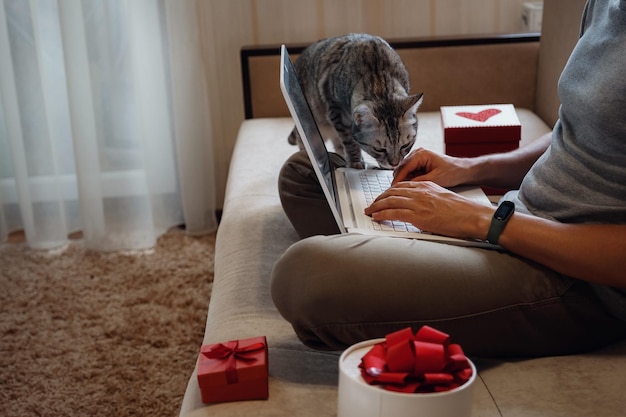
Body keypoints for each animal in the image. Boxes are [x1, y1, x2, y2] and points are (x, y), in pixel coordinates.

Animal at [286, 33, 422, 169]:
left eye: (405, 145)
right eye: (379, 149)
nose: (394, 164)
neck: (379, 82)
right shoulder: (337, 113)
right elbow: (350, 141)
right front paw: (355, 161)